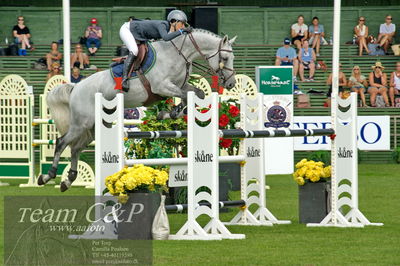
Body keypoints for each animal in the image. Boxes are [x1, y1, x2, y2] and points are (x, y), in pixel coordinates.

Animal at [38, 29, 236, 191]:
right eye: (225, 59)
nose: (231, 84)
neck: (178, 55)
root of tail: (75, 87)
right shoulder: (162, 87)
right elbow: (185, 96)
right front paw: (172, 112)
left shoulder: (180, 85)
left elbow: (197, 93)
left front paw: (172, 112)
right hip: (81, 123)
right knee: (62, 142)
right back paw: (47, 176)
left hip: (94, 126)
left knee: (76, 148)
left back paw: (68, 180)